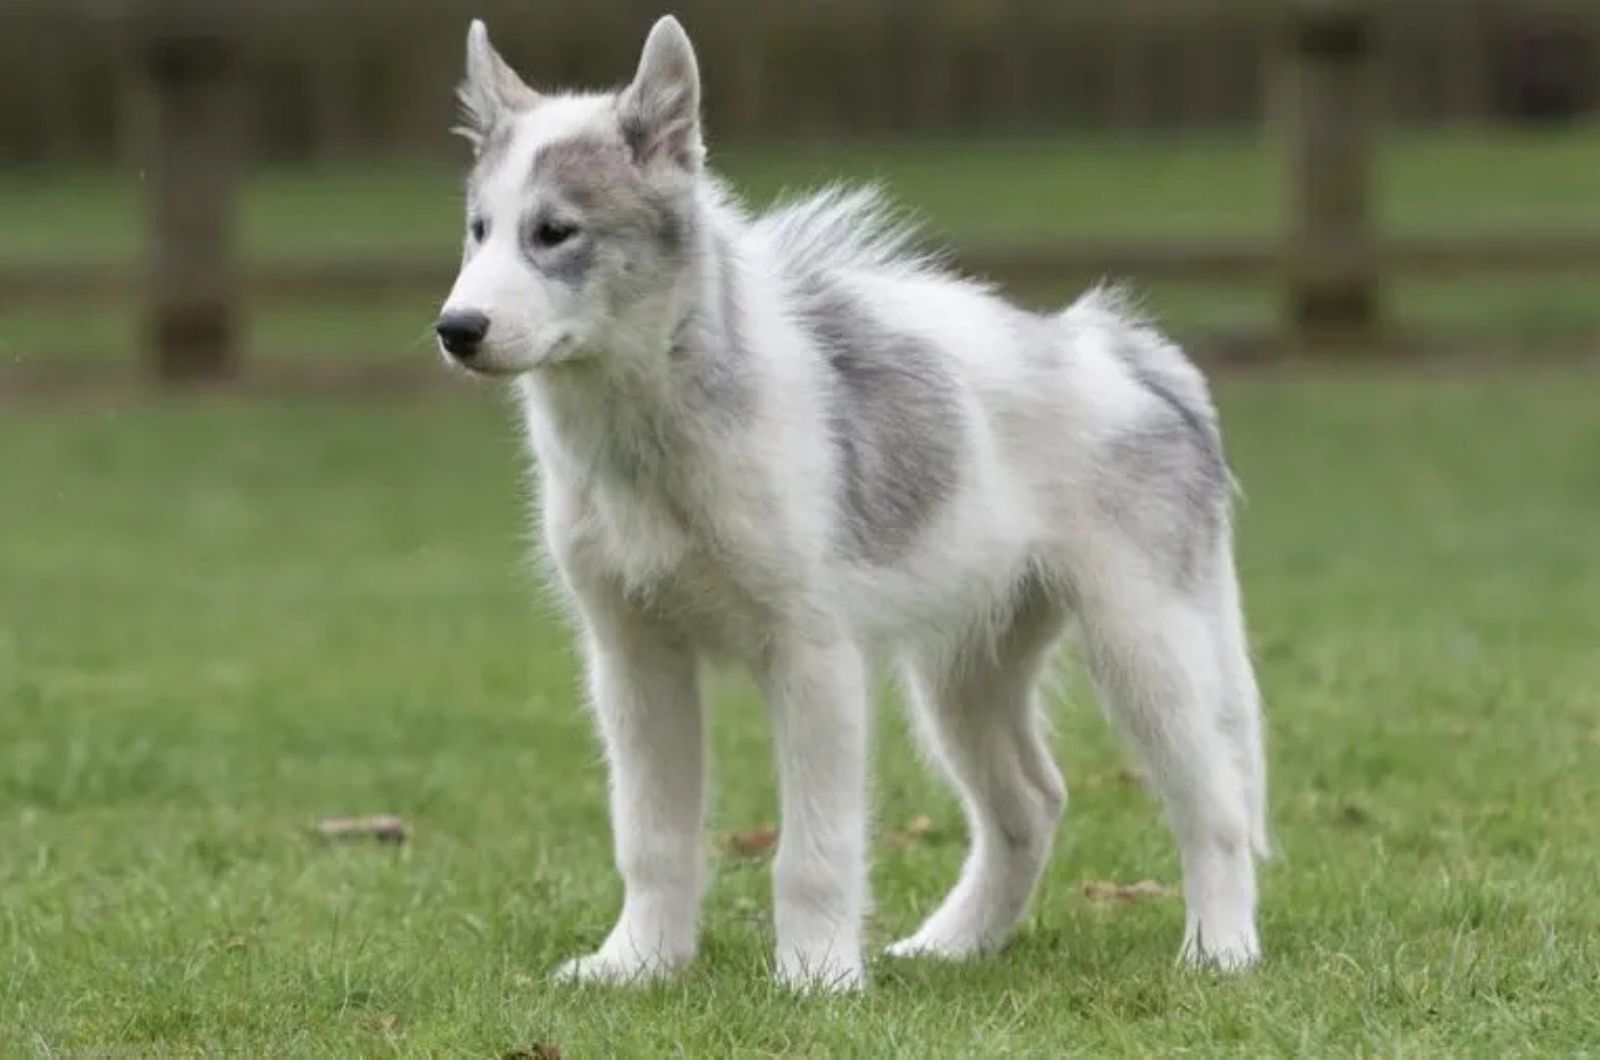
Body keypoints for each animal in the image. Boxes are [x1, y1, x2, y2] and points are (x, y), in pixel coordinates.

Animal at [435, 14, 1260, 999]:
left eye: (555, 232)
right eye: (478, 230)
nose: (455, 330)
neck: (651, 429)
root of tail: (1128, 349)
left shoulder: (812, 656)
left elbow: (814, 849)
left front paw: (816, 979)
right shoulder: (633, 656)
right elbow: (653, 833)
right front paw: (638, 963)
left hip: (1148, 643)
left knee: (1214, 800)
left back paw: (1221, 952)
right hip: (967, 665)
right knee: (1030, 803)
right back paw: (953, 944)